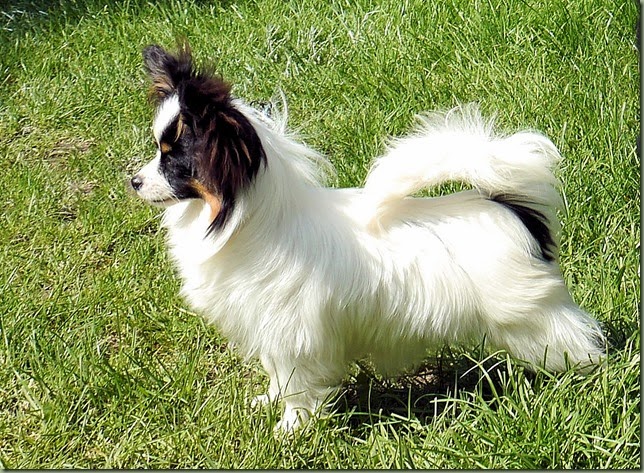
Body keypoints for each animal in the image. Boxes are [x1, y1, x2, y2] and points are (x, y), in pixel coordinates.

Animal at [130, 44, 605, 432]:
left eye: (174, 160)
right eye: (158, 151)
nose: (133, 181)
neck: (251, 220)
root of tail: (512, 206)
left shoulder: (294, 336)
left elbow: (297, 387)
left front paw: (290, 430)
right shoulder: (272, 333)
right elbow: (278, 378)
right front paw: (268, 403)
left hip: (529, 317)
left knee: (576, 344)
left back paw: (586, 381)